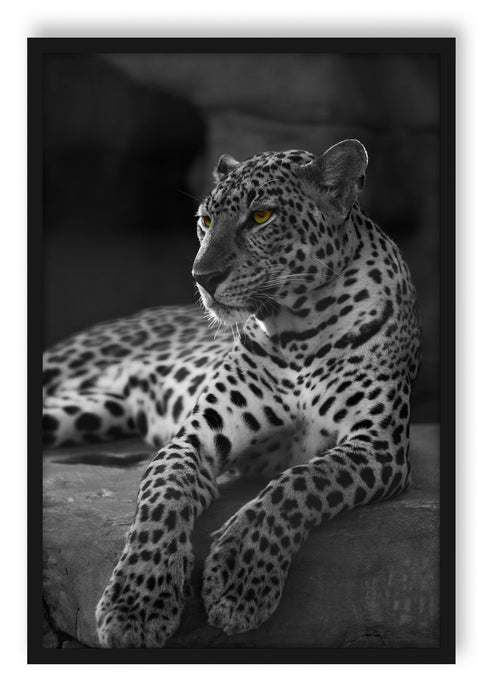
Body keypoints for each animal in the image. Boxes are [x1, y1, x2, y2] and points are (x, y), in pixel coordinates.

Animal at [42, 139, 421, 648]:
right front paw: (137, 603)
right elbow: (163, 498)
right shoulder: (193, 439)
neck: (298, 329)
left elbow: (299, 484)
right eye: (205, 220)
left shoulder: (377, 445)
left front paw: (240, 578)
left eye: (261, 217)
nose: (202, 276)